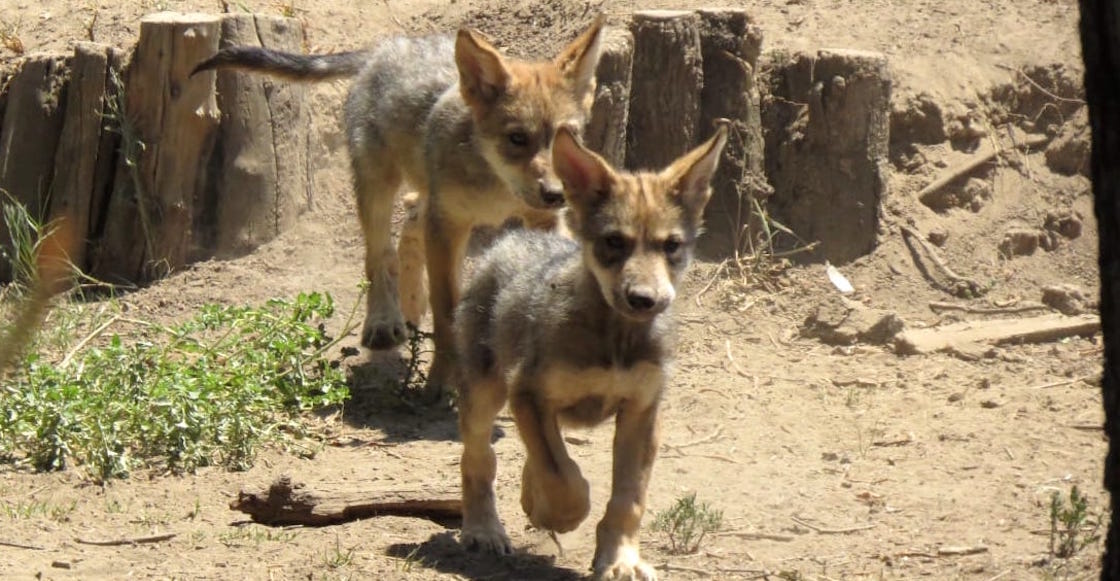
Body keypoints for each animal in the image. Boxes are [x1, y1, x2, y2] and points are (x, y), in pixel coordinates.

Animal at [193, 18, 605, 396]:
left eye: (569, 136)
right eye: (517, 138)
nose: (557, 194)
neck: (498, 189)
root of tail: (385, 48)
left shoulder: (538, 222)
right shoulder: (448, 225)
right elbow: (446, 313)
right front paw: (443, 380)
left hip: (421, 198)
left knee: (407, 226)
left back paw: (409, 302)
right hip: (379, 188)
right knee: (378, 256)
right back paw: (383, 321)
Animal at [454, 122, 729, 580]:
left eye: (671, 246)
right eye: (614, 241)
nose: (644, 299)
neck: (616, 339)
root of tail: (516, 238)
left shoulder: (642, 412)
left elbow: (627, 499)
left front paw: (620, 558)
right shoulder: (527, 393)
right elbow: (563, 476)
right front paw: (559, 514)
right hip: (483, 396)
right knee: (479, 460)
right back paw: (484, 529)